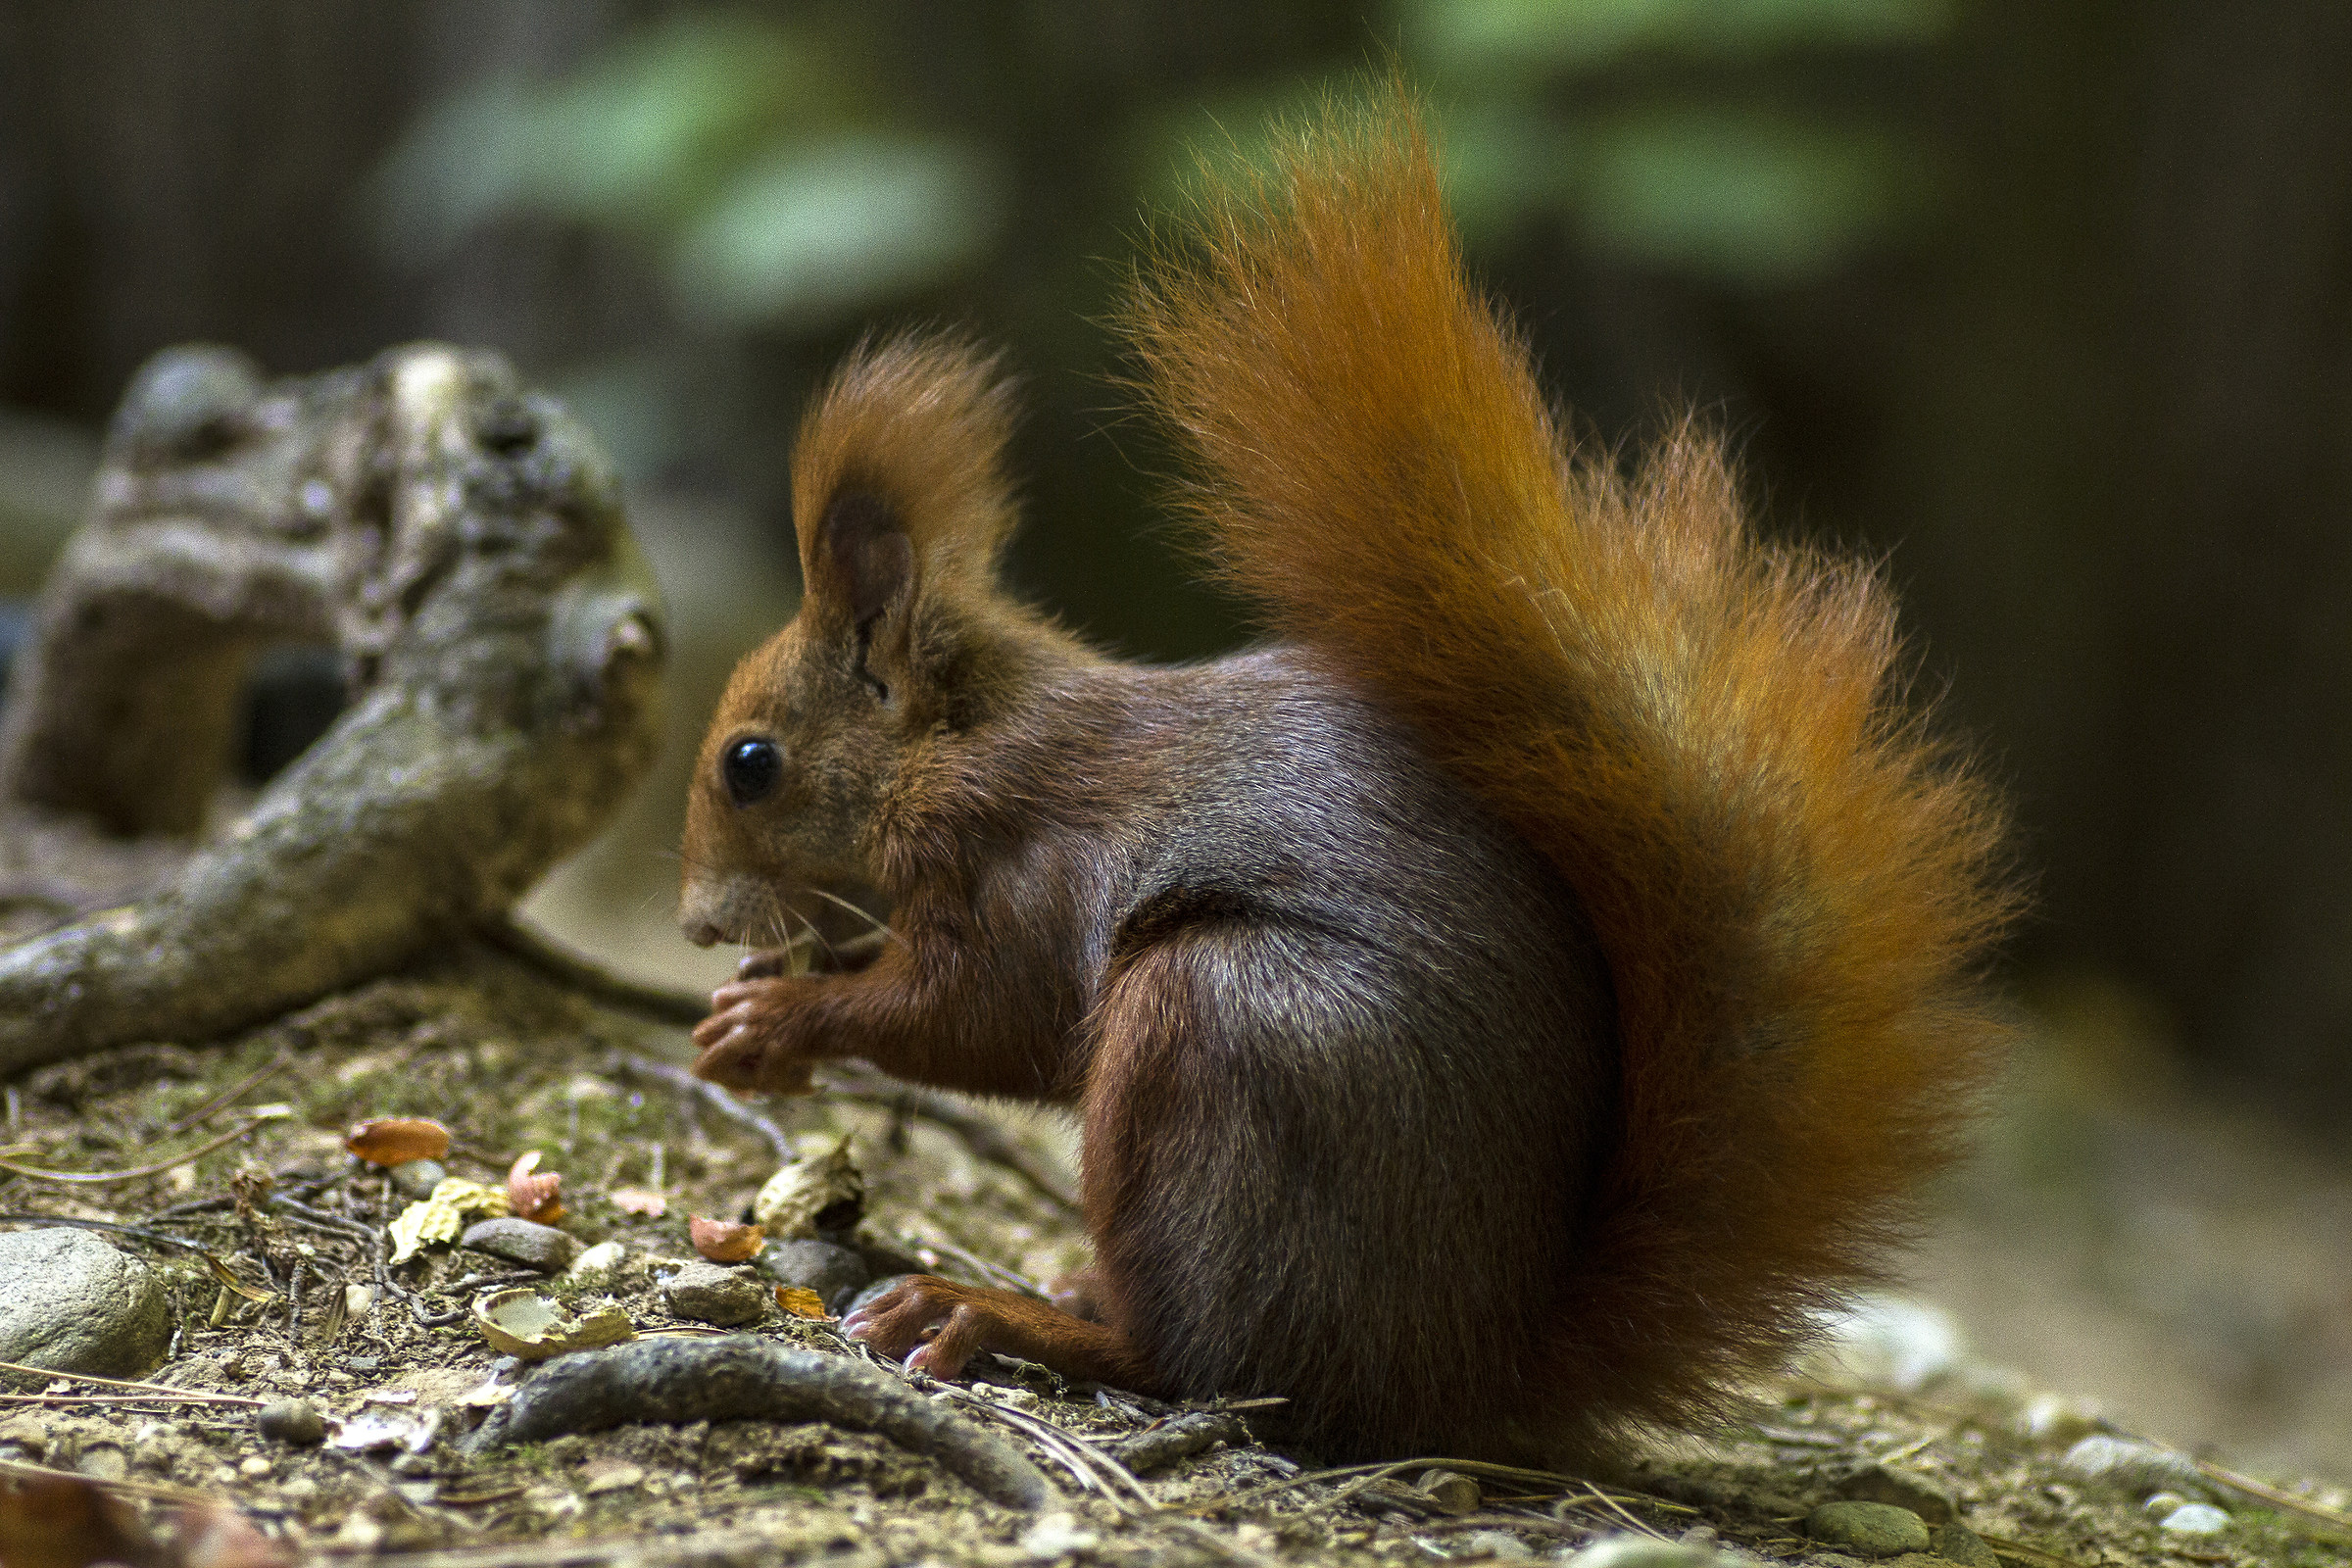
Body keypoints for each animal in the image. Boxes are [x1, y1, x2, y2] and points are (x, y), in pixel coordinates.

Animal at [676, 86, 2016, 1466]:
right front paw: (766, 996)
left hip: (1217, 1032)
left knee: (1200, 1356)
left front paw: (784, 1017)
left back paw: (999, 1314)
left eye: (750, 764)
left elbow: (981, 1015)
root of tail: (1463, 1366)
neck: (957, 737)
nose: (696, 920)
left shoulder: (1020, 861)